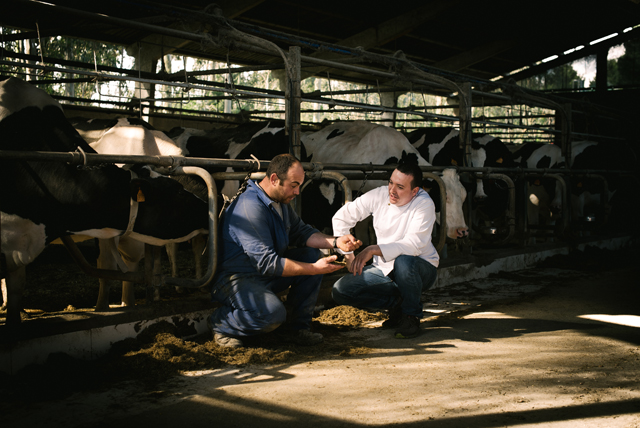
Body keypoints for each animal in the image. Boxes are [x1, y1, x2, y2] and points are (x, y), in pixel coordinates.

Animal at [0, 77, 208, 324]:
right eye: (177, 192)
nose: (209, 207)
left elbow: (135, 267)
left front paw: (129, 304)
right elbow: (107, 267)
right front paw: (102, 309)